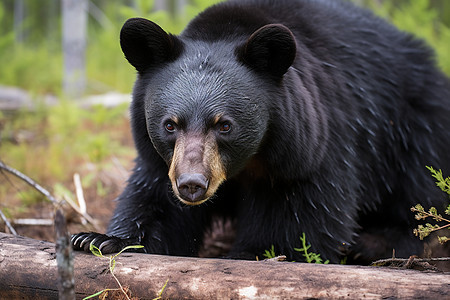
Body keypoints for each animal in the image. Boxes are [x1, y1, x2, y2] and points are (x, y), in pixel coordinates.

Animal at [70, 0, 450, 262]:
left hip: (412, 124)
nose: (191, 185)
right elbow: (156, 202)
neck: (248, 163)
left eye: (224, 125)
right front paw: (97, 239)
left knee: (418, 189)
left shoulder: (311, 146)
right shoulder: (160, 161)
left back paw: (374, 242)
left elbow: (301, 217)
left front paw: (254, 252)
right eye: (169, 124)